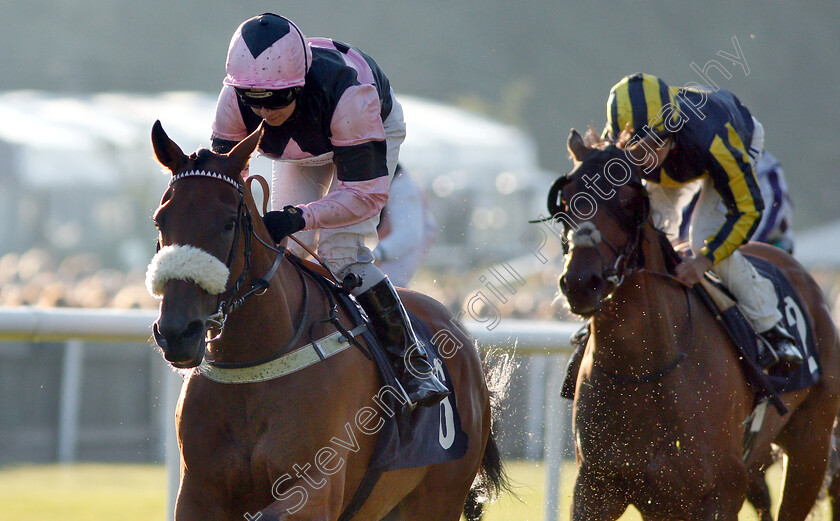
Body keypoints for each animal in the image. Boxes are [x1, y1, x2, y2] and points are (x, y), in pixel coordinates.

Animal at [146, 122, 506, 520]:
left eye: (228, 223)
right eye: (160, 220)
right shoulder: (197, 492)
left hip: (438, 497)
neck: (254, 364)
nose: (177, 332)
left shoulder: (317, 487)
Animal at [552, 130, 840, 520]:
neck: (644, 369)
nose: (582, 283)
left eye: (628, 200)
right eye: (567, 200)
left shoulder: (722, 491)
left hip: (811, 446)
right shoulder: (598, 487)